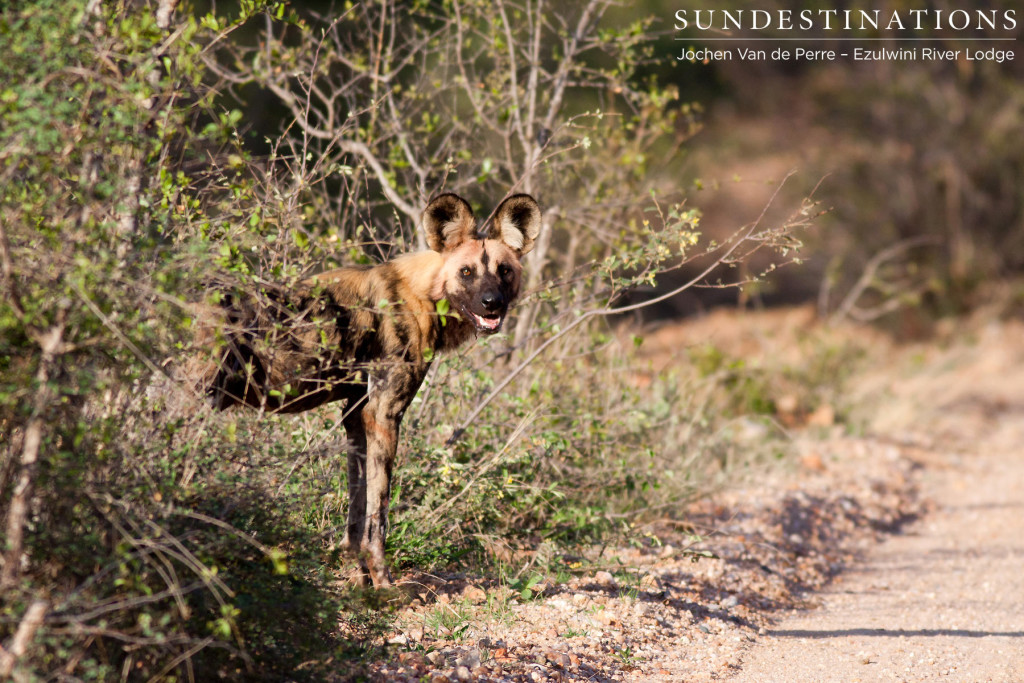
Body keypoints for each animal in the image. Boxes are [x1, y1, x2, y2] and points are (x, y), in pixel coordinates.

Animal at [192, 193, 544, 589]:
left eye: (504, 271)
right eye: (466, 272)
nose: (491, 303)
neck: (421, 293)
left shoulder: (355, 414)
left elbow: (357, 508)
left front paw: (357, 575)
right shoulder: (384, 414)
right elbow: (379, 511)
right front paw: (383, 582)